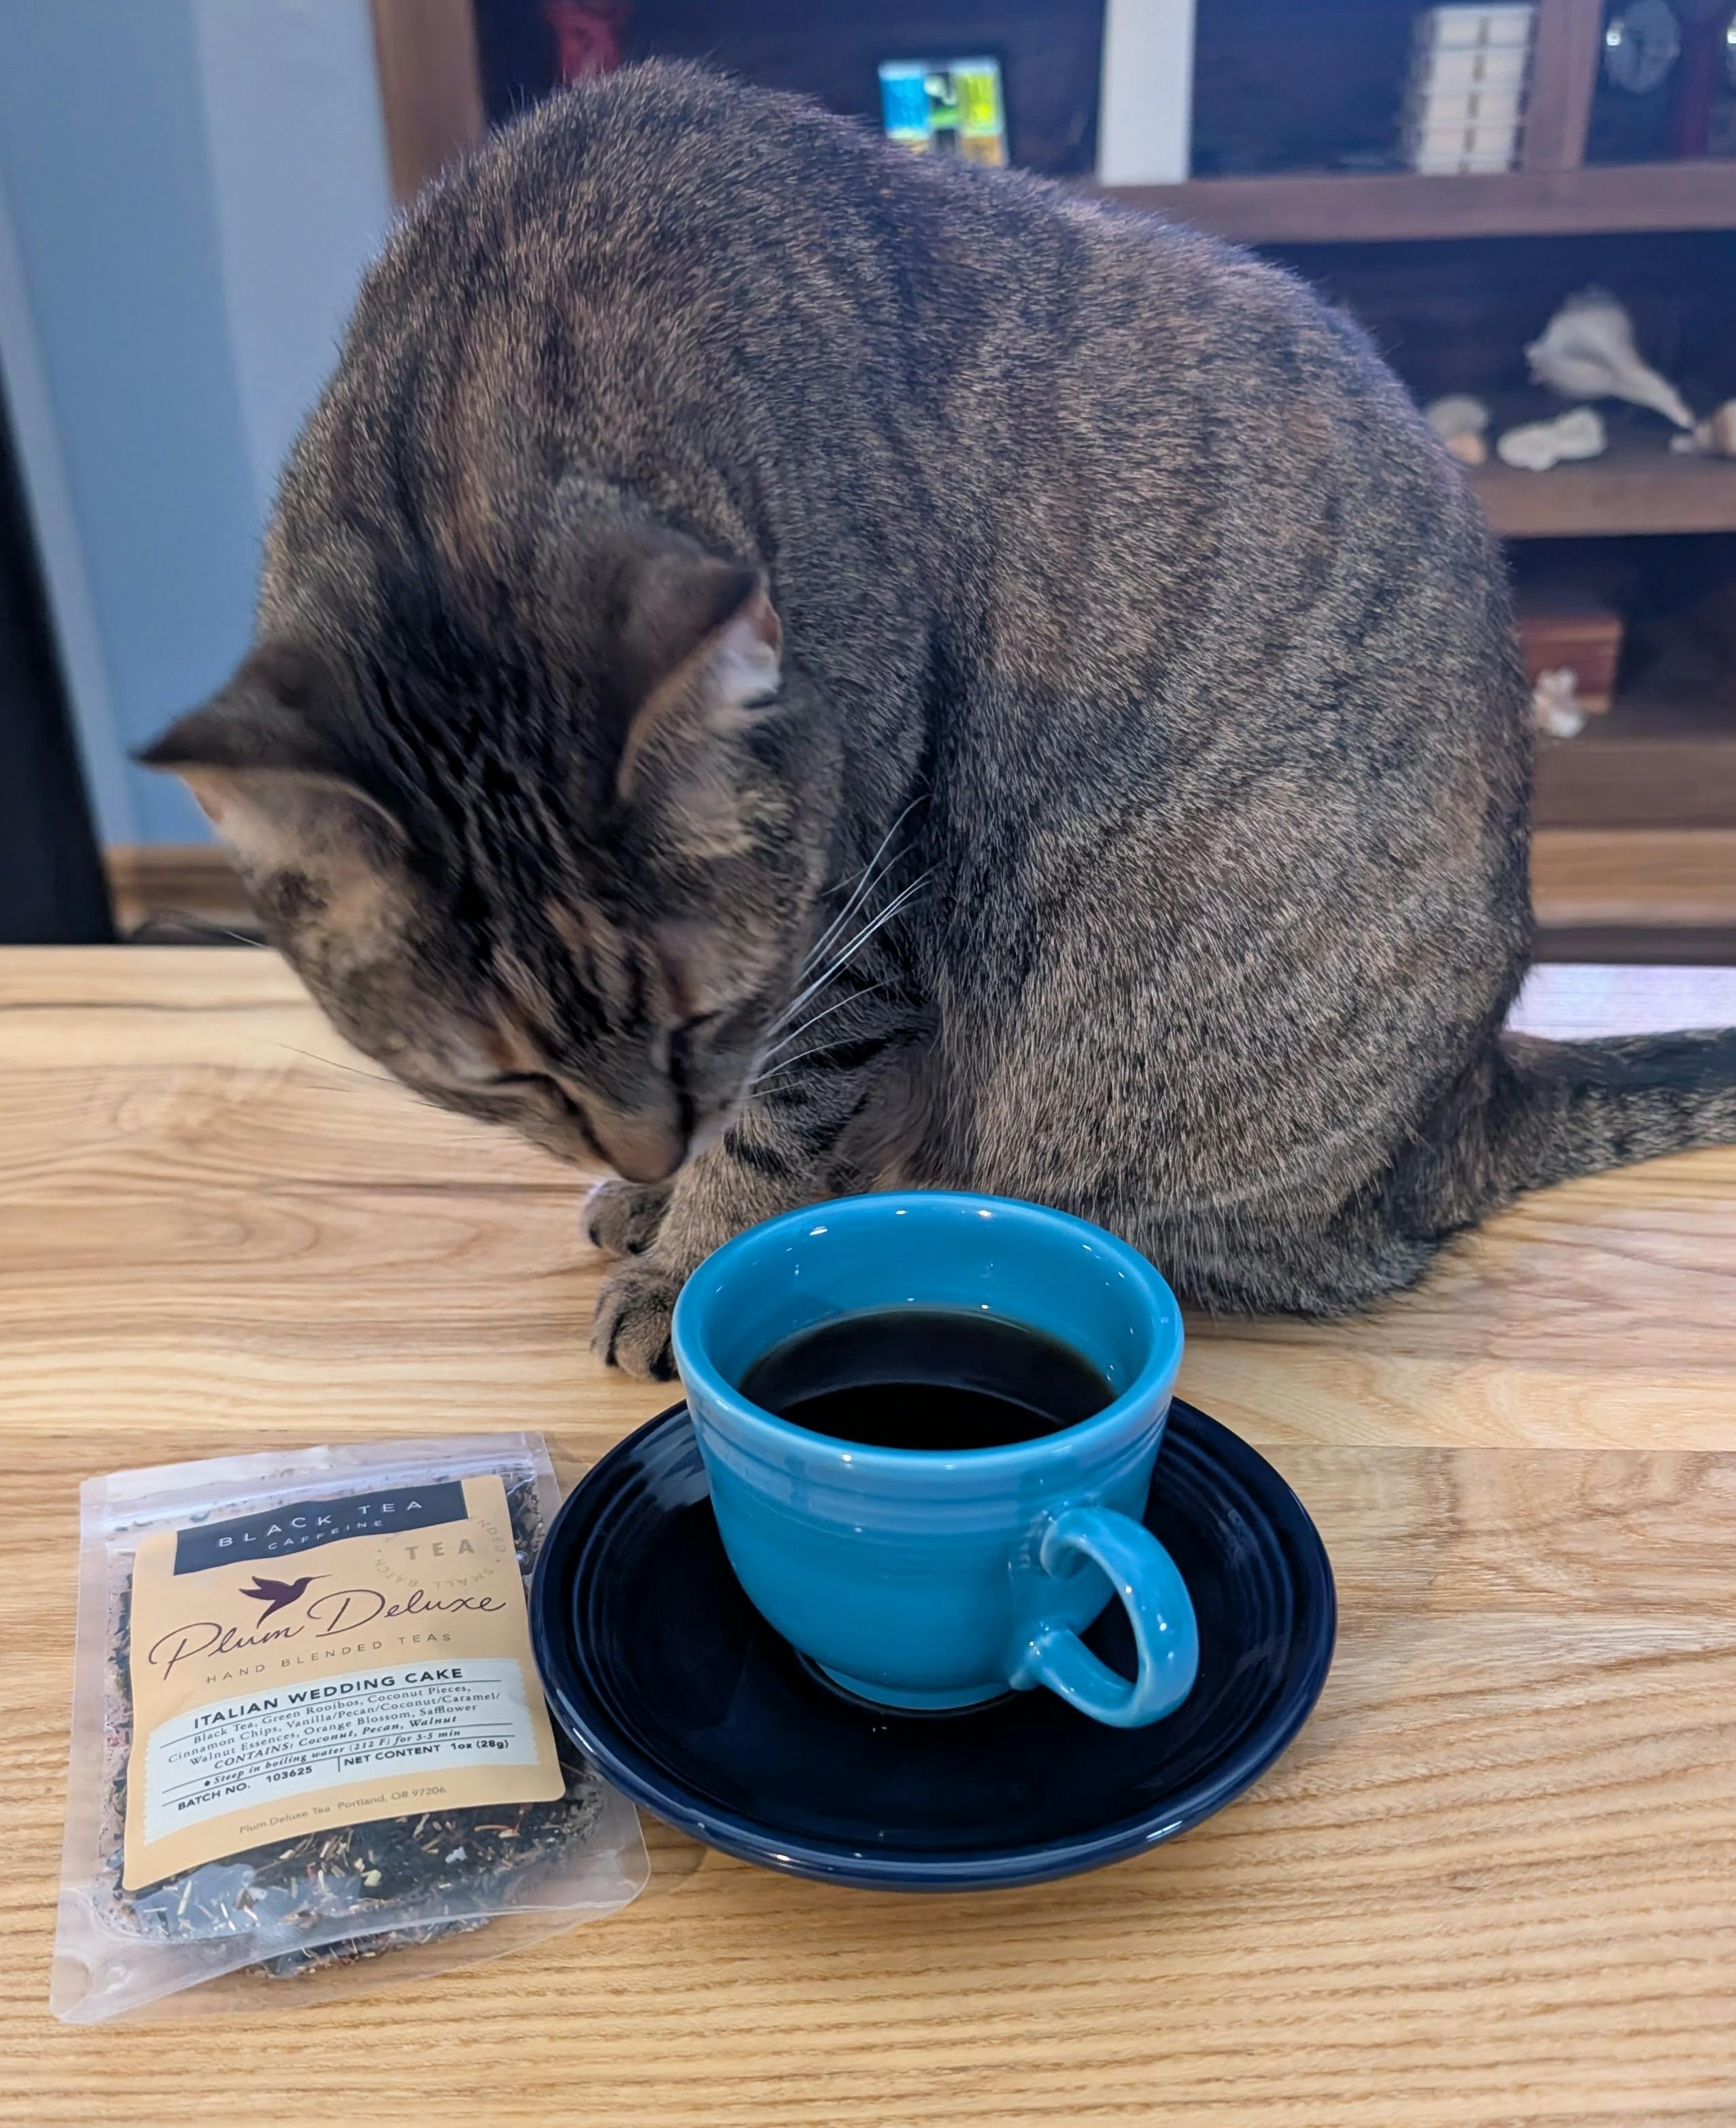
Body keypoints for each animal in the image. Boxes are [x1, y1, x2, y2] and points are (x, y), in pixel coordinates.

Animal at [144, 63, 1736, 1379]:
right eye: (499, 1076)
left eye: (711, 1008)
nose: (651, 1130)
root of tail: (1474, 1092)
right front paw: (654, 1196)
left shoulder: (850, 924)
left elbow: (770, 1129)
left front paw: (686, 1252)